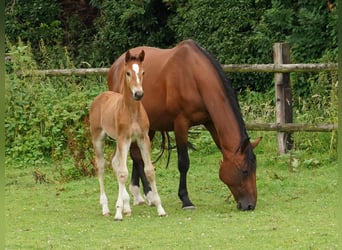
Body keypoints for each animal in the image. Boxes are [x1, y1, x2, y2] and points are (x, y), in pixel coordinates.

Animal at [90, 49, 166, 221]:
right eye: (128, 73)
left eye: (143, 72)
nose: (138, 94)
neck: (131, 111)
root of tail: (100, 97)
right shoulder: (124, 138)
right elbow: (124, 173)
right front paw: (118, 212)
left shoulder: (142, 138)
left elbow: (149, 170)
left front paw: (160, 208)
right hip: (98, 138)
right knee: (102, 166)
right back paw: (106, 208)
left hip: (119, 141)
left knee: (115, 162)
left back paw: (126, 206)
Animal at [107, 39, 262, 211]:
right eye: (245, 170)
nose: (250, 205)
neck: (194, 76)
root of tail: (115, 65)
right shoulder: (180, 124)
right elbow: (183, 163)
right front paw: (186, 199)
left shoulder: (210, 122)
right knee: (137, 156)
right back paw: (149, 194)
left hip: (147, 126)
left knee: (137, 155)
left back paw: (138, 194)